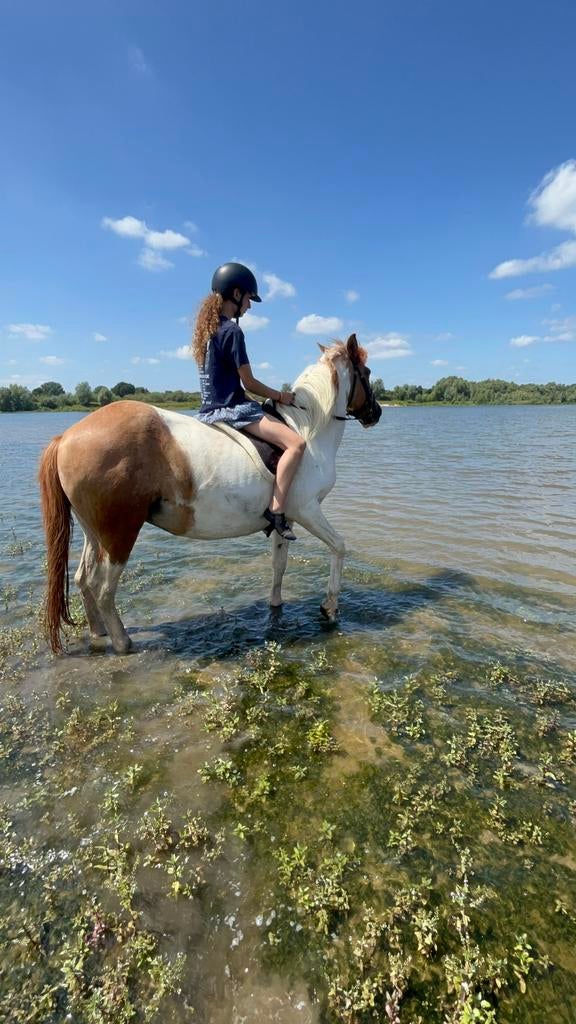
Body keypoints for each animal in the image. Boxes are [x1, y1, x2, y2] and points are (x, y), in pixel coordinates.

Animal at [38, 333, 381, 654]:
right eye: (366, 372)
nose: (375, 413)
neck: (307, 433)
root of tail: (67, 436)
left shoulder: (285, 519)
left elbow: (279, 564)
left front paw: (276, 605)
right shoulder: (307, 510)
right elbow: (339, 547)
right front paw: (329, 608)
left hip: (94, 532)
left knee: (83, 579)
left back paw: (98, 634)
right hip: (120, 534)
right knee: (103, 589)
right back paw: (122, 642)